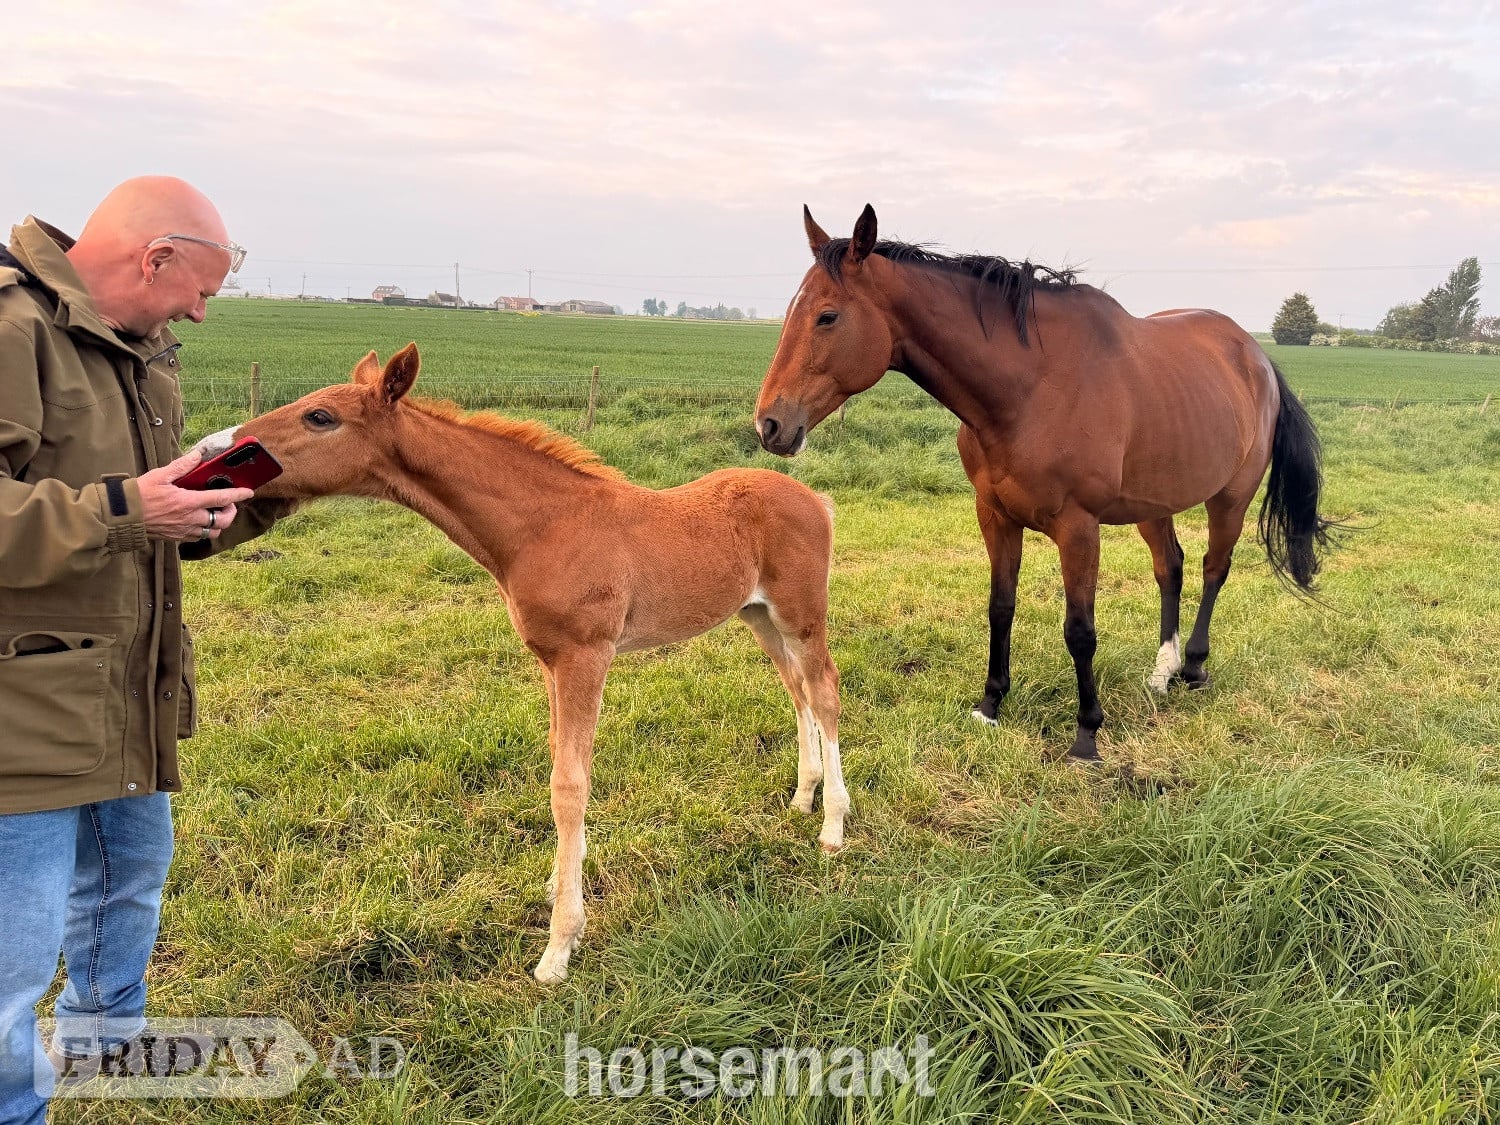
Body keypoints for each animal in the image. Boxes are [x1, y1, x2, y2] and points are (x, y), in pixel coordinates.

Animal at [204, 344, 848, 983]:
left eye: (320, 417)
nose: (212, 449)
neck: (543, 527)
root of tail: (815, 498)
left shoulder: (586, 656)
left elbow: (569, 784)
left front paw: (560, 946)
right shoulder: (549, 662)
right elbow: (557, 765)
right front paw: (560, 883)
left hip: (801, 614)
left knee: (824, 692)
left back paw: (833, 827)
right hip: (758, 615)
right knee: (796, 690)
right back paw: (802, 796)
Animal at [755, 205, 1335, 763]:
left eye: (827, 316)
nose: (770, 424)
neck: (1031, 388)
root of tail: (1257, 357)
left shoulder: (1079, 529)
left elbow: (1080, 631)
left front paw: (1087, 734)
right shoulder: (995, 516)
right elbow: (1000, 606)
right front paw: (990, 703)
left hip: (1230, 497)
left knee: (1215, 569)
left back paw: (1192, 668)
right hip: (1155, 503)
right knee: (1170, 568)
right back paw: (1162, 671)